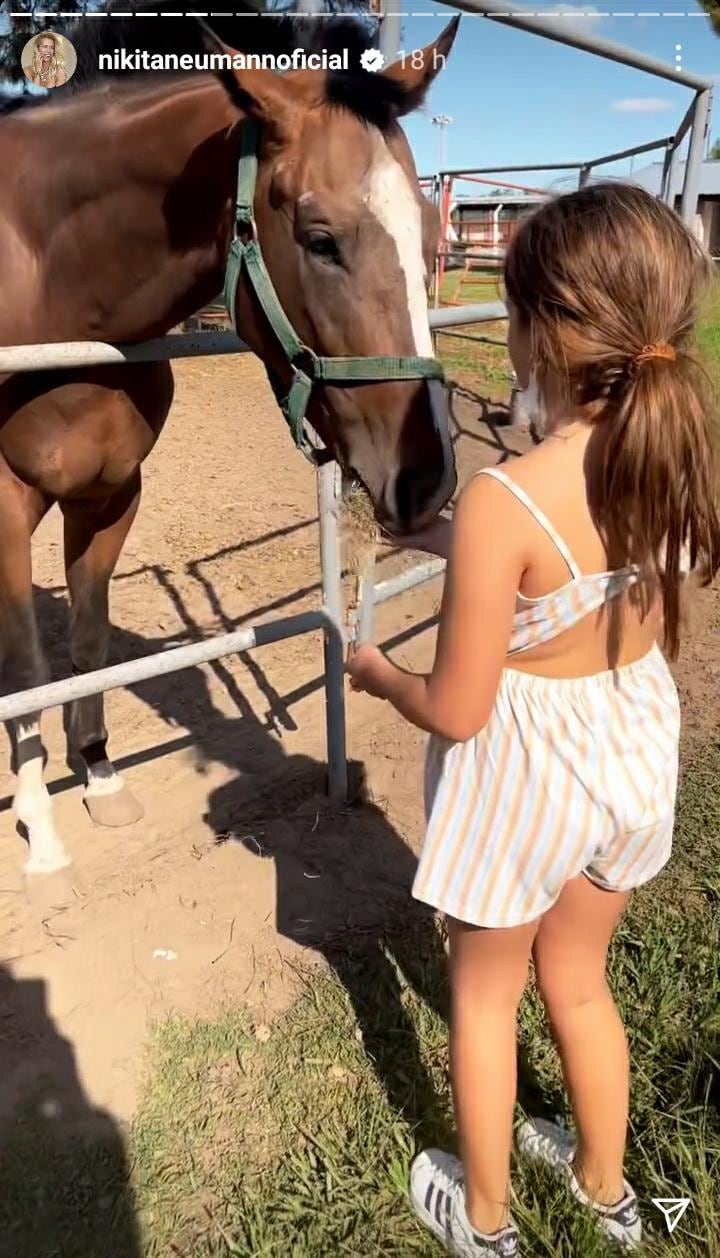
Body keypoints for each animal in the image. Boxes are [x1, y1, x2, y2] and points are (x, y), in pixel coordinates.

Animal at [0, 22, 458, 885]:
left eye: (427, 232)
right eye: (320, 240)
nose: (428, 479)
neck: (46, 282)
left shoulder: (112, 494)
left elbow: (89, 639)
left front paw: (99, 775)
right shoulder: (4, 507)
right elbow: (26, 667)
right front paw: (40, 830)